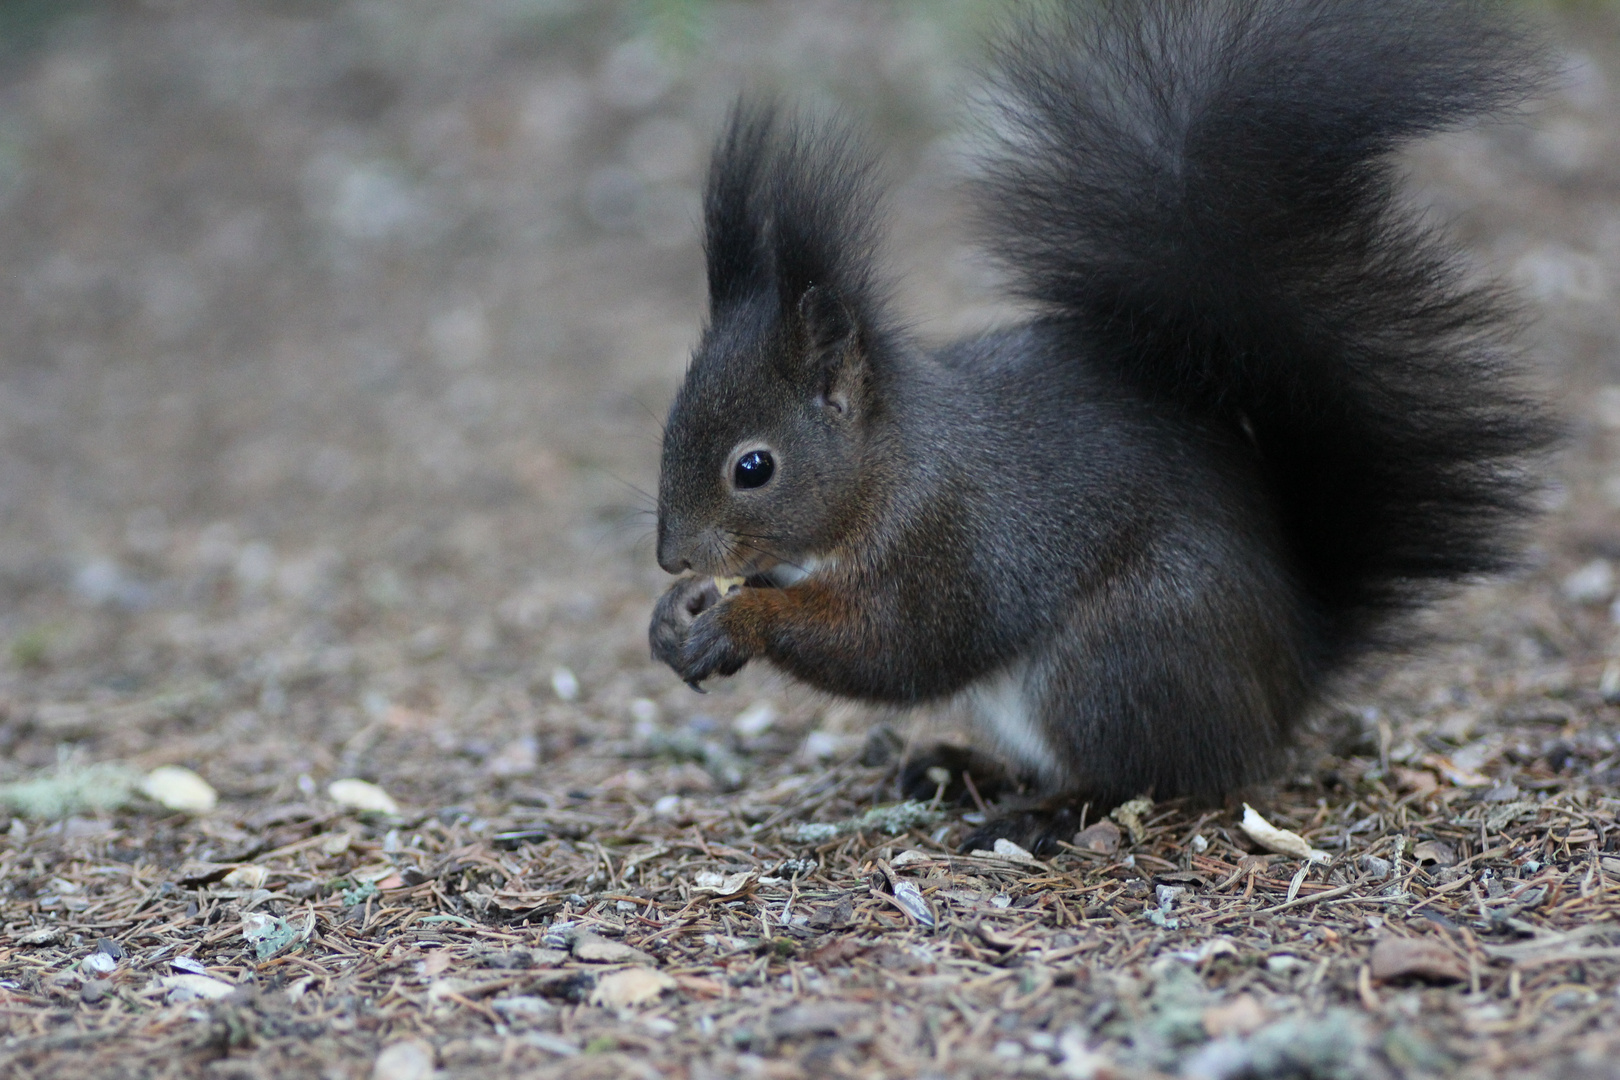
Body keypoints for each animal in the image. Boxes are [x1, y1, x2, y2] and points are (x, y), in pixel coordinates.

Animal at [644, 0, 1555, 841]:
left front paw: (738, 620)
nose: (670, 557)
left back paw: (1041, 815)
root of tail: (1290, 676)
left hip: (1117, 660)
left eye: (753, 467)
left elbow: (896, 646)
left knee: (1150, 774)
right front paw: (677, 615)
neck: (885, 468)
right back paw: (958, 768)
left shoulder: (944, 540)